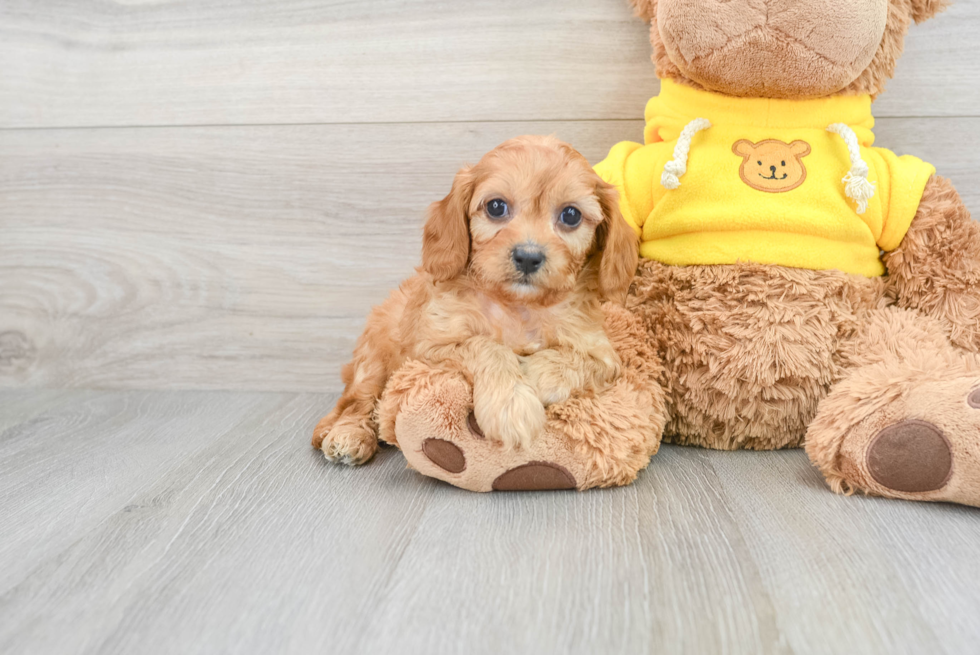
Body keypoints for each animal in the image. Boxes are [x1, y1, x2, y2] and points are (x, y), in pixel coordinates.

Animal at [310, 136, 640, 466]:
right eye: (496, 207)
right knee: (357, 401)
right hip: (375, 356)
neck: (517, 307)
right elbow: (486, 346)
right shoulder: (427, 348)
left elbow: (578, 360)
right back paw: (348, 435)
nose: (528, 257)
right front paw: (511, 403)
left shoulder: (604, 354)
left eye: (571, 215)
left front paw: (532, 373)